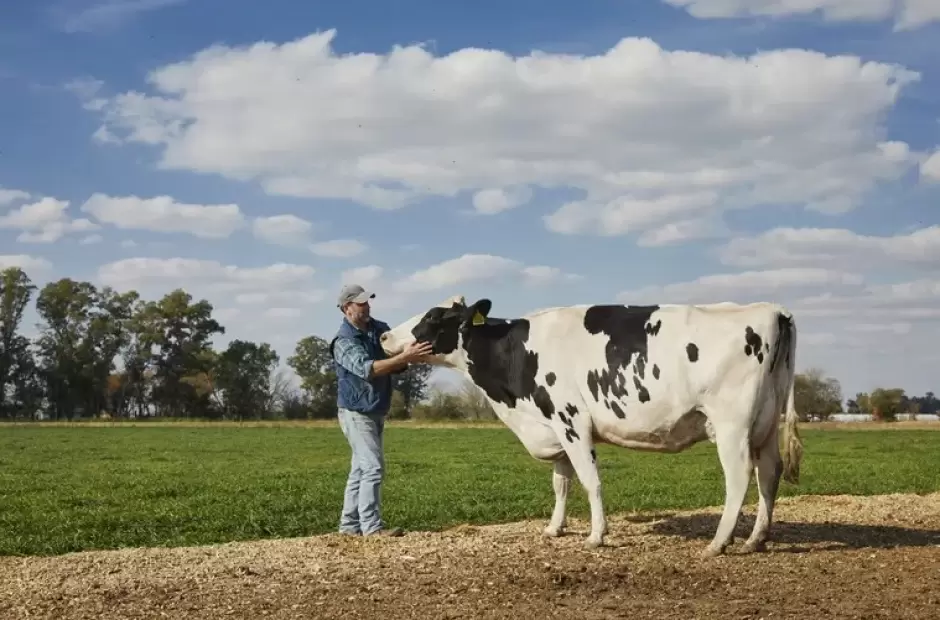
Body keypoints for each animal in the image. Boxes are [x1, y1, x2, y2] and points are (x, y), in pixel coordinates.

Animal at [379, 295, 804, 557]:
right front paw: (555, 528)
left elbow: (589, 480)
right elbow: (561, 482)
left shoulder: (571, 419)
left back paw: (718, 543)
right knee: (769, 474)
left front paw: (597, 535)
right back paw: (755, 540)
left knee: (739, 476)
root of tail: (772, 310)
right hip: (766, 423)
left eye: (432, 317)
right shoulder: (552, 424)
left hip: (732, 423)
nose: (383, 334)